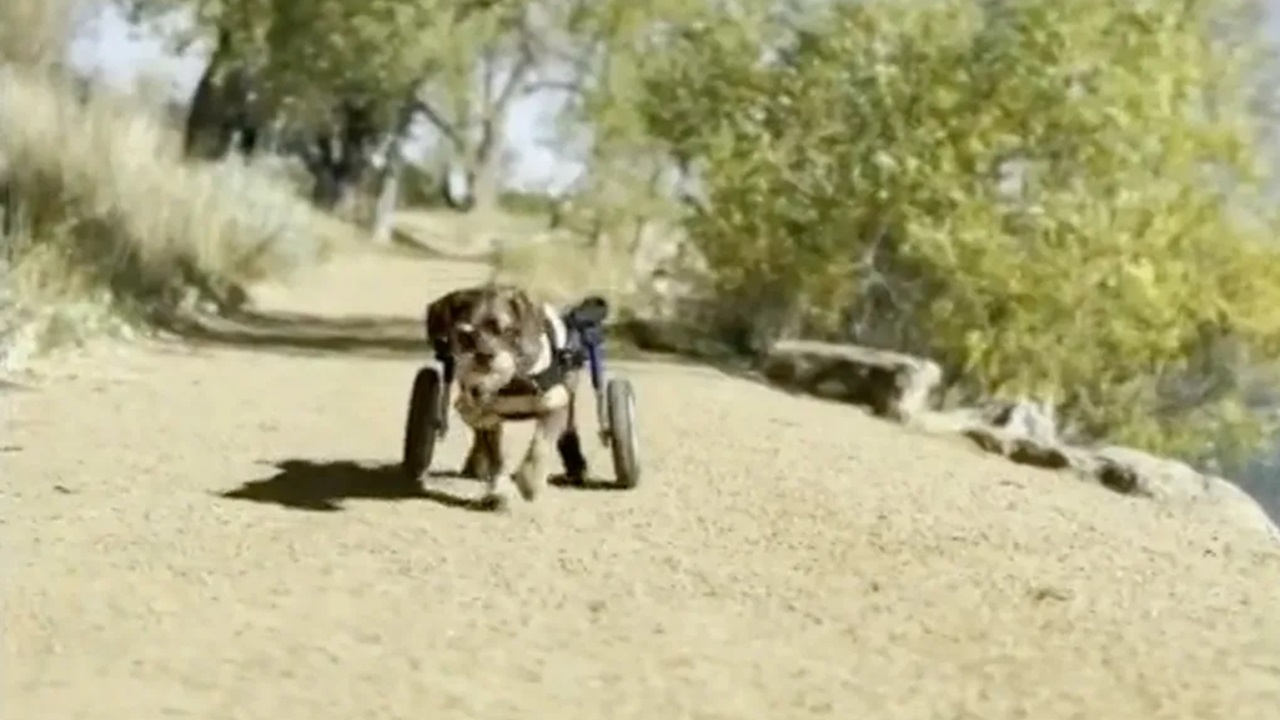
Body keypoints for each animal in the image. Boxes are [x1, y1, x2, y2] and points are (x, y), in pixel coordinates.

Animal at [427, 281, 591, 509]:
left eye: (502, 330)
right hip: (470, 409)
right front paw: (499, 490)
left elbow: (540, 447)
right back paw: (475, 465)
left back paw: (577, 467)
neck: (514, 381)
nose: (484, 356)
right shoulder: (488, 418)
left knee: (568, 432)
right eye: (465, 335)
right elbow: (497, 458)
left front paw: (529, 484)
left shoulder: (554, 404)